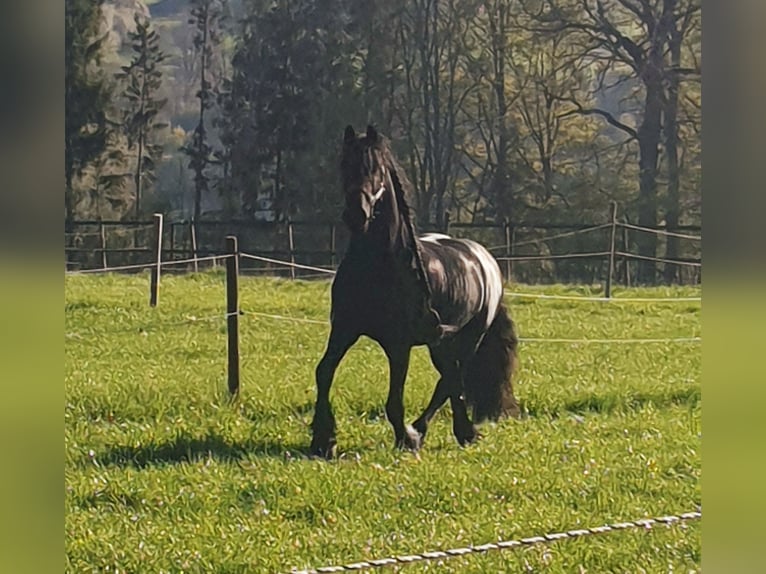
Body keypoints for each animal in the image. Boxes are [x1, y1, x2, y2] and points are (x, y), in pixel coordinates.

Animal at [309, 124, 520, 458]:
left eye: (376, 169)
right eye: (344, 165)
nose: (356, 214)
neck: (379, 266)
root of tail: (485, 259)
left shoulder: (399, 345)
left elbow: (395, 399)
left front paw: (404, 438)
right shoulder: (343, 330)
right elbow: (324, 372)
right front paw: (323, 439)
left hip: (469, 337)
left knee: (451, 380)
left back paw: (430, 431)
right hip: (441, 343)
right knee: (451, 379)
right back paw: (449, 431)